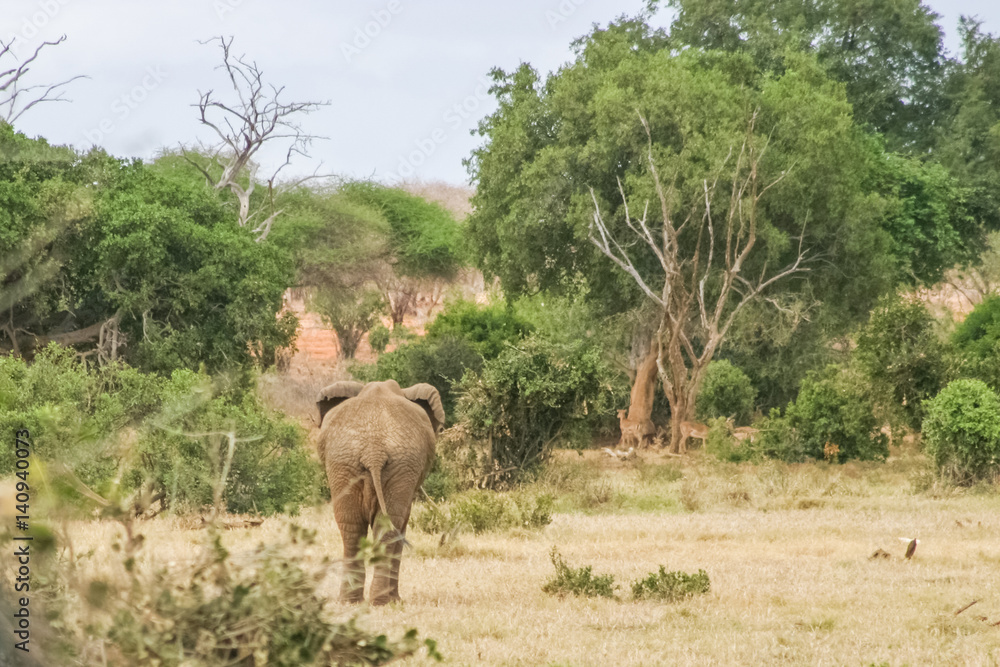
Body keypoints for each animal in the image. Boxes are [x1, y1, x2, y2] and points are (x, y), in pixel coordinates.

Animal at [316, 379, 444, 606]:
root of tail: (373, 450)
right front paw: (396, 599)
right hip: (392, 465)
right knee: (384, 526)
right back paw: (382, 601)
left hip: (346, 464)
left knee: (352, 526)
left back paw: (353, 601)